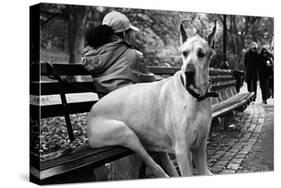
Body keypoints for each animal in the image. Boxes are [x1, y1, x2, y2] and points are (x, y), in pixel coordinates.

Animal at [87, 20, 217, 178]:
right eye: (184, 53)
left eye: (201, 54)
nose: (189, 72)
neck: (196, 97)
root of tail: (91, 111)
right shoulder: (182, 150)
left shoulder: (200, 146)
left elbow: (203, 170)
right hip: (125, 133)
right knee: (153, 164)